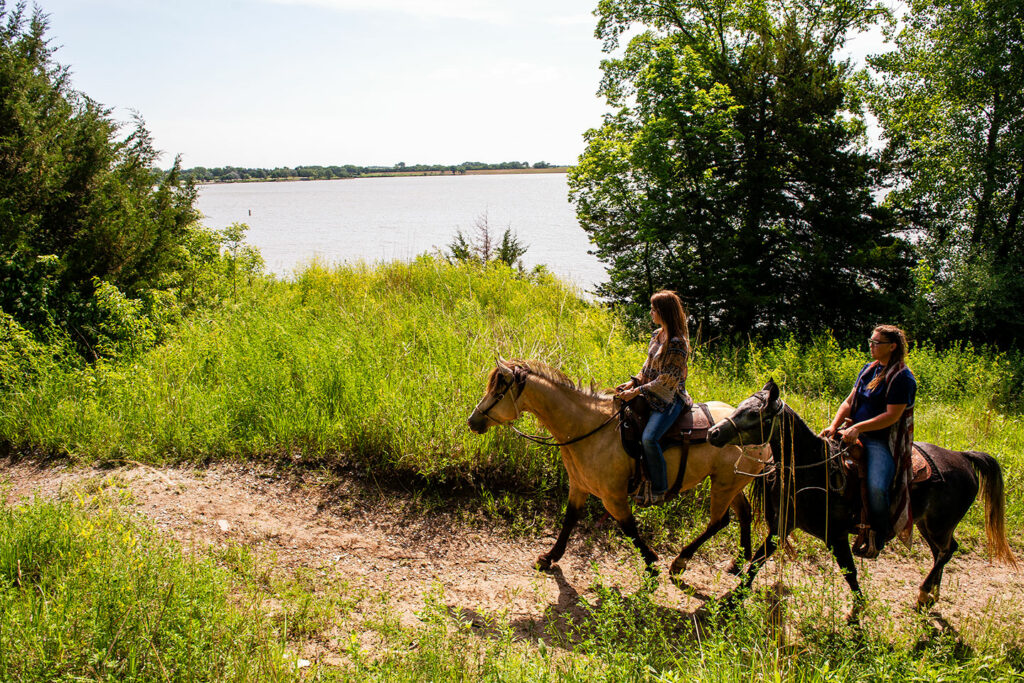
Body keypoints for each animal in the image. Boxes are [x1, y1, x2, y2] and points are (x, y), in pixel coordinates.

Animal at [464, 360, 770, 581]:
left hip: (724, 485)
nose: (472, 420)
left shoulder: (613, 498)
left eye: (498, 392)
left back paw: (680, 562)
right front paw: (549, 557)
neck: (589, 428)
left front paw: (651, 562)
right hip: (731, 483)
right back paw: (738, 561)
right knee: (744, 514)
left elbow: (629, 528)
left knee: (719, 522)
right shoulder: (579, 487)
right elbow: (569, 521)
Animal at [708, 378, 1019, 614]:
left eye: (753, 414)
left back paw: (924, 593)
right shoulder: (782, 526)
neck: (814, 468)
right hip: (928, 526)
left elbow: (849, 572)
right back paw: (931, 596)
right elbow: (758, 559)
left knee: (947, 551)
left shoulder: (836, 535)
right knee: (941, 552)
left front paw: (857, 610)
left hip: (939, 525)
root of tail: (963, 457)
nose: (713, 433)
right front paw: (732, 599)